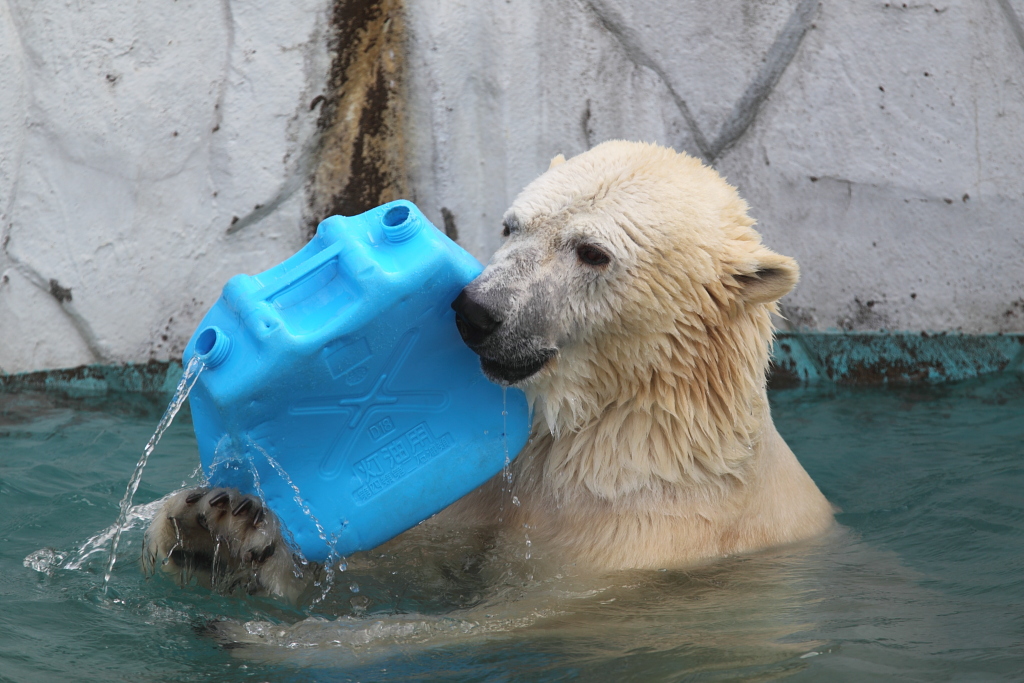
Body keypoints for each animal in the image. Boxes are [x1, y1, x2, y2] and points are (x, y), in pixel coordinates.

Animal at [144, 140, 831, 598]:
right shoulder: (472, 495)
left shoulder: (635, 537)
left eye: (592, 252)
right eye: (512, 225)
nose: (476, 311)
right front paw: (214, 527)